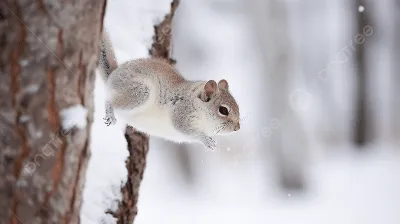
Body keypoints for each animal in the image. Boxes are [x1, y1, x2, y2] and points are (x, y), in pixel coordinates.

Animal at [97, 28, 241, 150]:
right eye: (223, 110)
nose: (237, 128)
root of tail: (112, 76)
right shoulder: (182, 113)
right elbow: (189, 131)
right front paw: (207, 140)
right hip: (139, 93)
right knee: (110, 100)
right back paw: (110, 114)